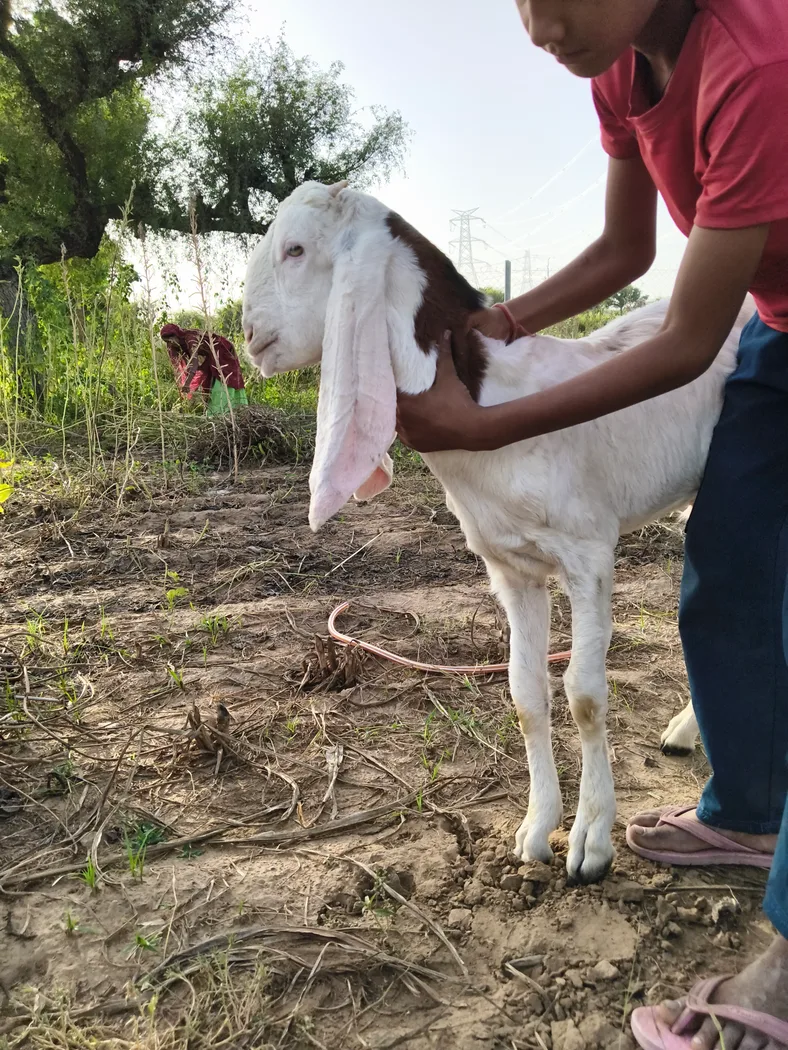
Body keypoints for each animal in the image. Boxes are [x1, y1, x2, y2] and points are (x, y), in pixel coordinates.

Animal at [242, 180, 753, 883]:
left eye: (294, 249)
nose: (248, 334)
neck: (491, 396)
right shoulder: (510, 567)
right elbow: (525, 694)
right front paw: (536, 831)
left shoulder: (588, 551)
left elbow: (584, 696)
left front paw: (591, 842)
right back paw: (682, 731)